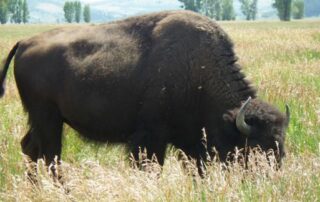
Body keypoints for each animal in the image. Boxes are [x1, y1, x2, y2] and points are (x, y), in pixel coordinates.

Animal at [0, 10, 290, 176]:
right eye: (256, 148)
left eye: (281, 147)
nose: (270, 177)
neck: (198, 70)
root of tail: (25, 42)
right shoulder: (150, 137)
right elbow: (151, 166)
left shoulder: (189, 141)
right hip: (48, 119)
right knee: (51, 155)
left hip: (42, 120)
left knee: (31, 148)